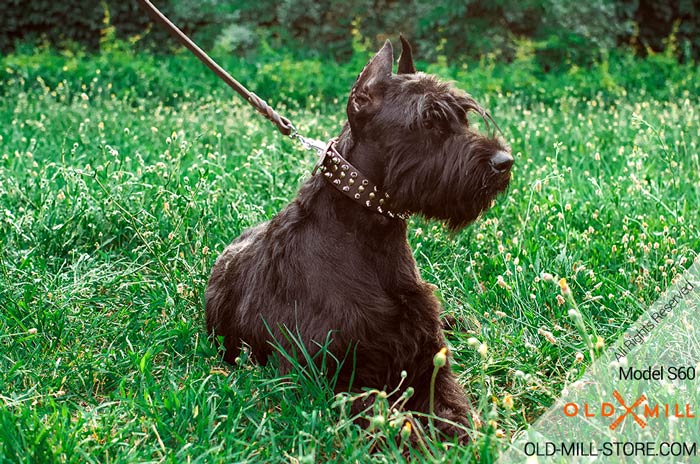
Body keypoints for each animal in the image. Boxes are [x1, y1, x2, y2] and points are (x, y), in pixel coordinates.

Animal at [205, 36, 512, 442]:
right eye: (428, 119)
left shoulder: (428, 363)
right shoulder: (324, 380)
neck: (368, 234)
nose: (504, 162)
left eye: (463, 116)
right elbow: (388, 420)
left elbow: (452, 409)